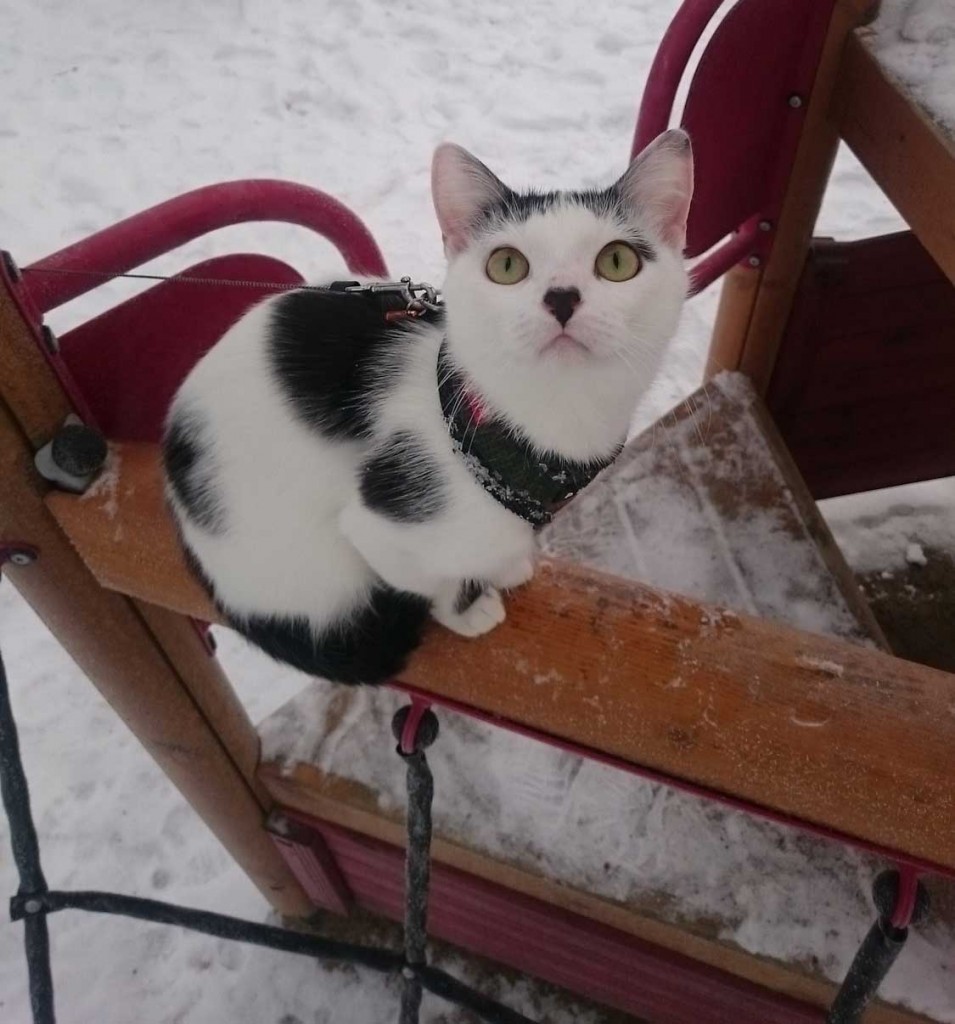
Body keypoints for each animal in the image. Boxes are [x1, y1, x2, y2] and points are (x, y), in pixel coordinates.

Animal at [160, 132, 687, 684]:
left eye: (617, 262)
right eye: (506, 266)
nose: (562, 297)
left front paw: (507, 567)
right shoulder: (378, 524)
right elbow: (432, 581)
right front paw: (467, 609)